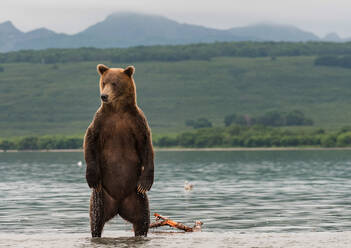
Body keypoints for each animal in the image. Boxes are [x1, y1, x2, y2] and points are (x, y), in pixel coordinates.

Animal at [84, 63, 155, 236]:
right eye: (104, 82)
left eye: (114, 83)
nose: (104, 96)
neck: (118, 110)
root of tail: (118, 206)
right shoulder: (100, 122)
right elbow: (89, 141)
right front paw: (92, 177)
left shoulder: (137, 122)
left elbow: (147, 147)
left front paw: (146, 182)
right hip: (101, 197)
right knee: (95, 219)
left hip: (137, 198)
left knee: (142, 220)